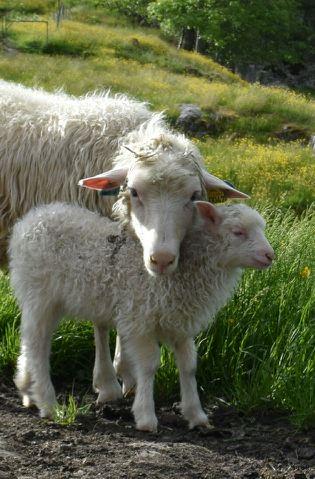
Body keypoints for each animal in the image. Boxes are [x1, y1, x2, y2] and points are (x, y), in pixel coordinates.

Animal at [10, 201, 274, 434]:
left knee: (30, 340)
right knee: (37, 346)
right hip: (40, 294)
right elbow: (148, 366)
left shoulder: (180, 322)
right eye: (238, 232)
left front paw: (196, 416)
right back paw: (48, 403)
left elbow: (188, 367)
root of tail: (30, 220)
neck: (188, 267)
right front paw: (146, 417)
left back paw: (27, 389)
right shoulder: (140, 319)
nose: (270, 255)